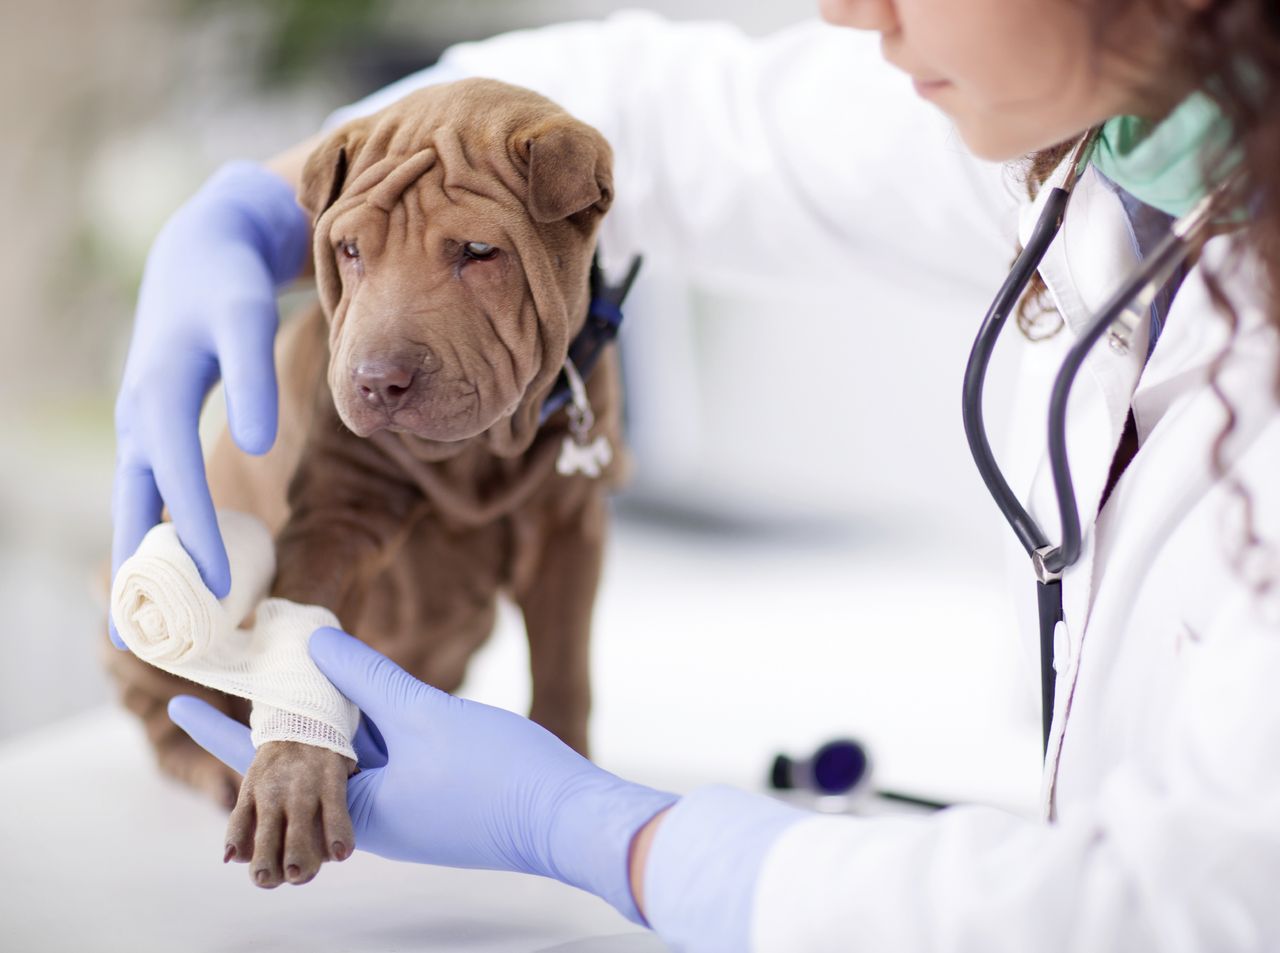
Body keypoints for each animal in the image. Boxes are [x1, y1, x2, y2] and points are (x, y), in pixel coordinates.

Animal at [104, 78, 624, 890]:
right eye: (349, 250)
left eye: (481, 252)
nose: (378, 381)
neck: (478, 457)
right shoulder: (335, 516)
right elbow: (308, 632)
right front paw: (290, 779)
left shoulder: (572, 528)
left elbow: (565, 663)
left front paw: (566, 771)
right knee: (163, 710)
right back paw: (211, 764)